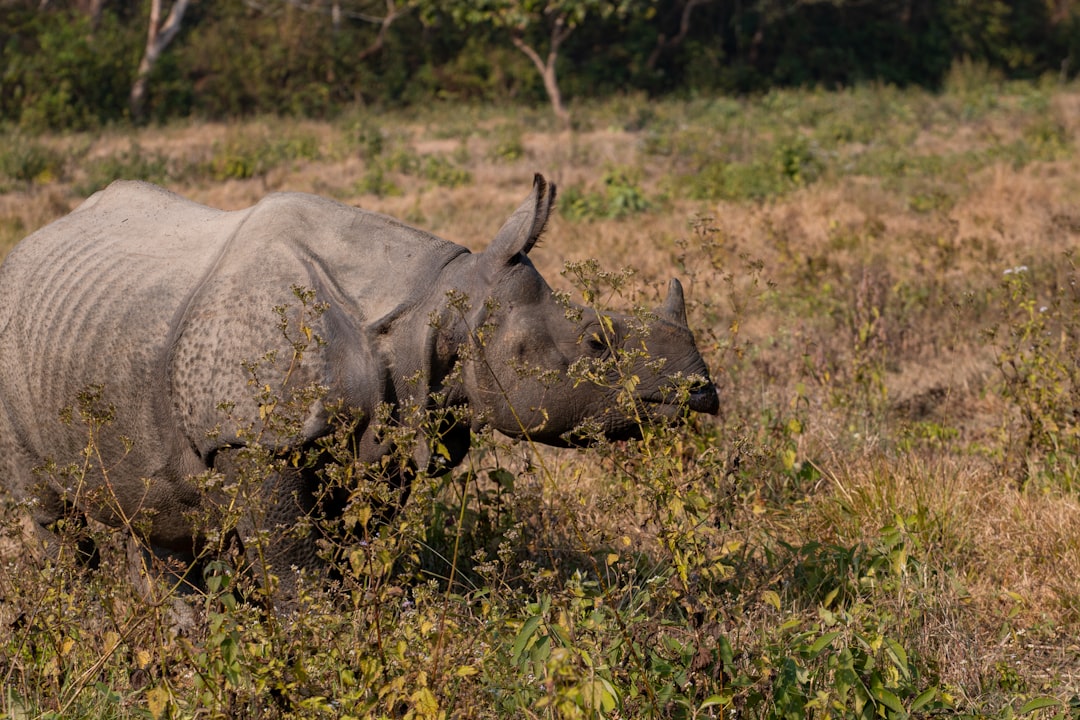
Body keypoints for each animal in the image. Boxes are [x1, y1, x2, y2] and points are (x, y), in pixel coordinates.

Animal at [0, 174, 717, 597]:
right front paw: (313, 649)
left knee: (160, 520)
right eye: (596, 343)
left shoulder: (391, 434)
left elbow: (343, 549)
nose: (703, 392)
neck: (437, 305)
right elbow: (295, 567)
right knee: (53, 515)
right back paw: (81, 611)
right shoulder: (255, 438)